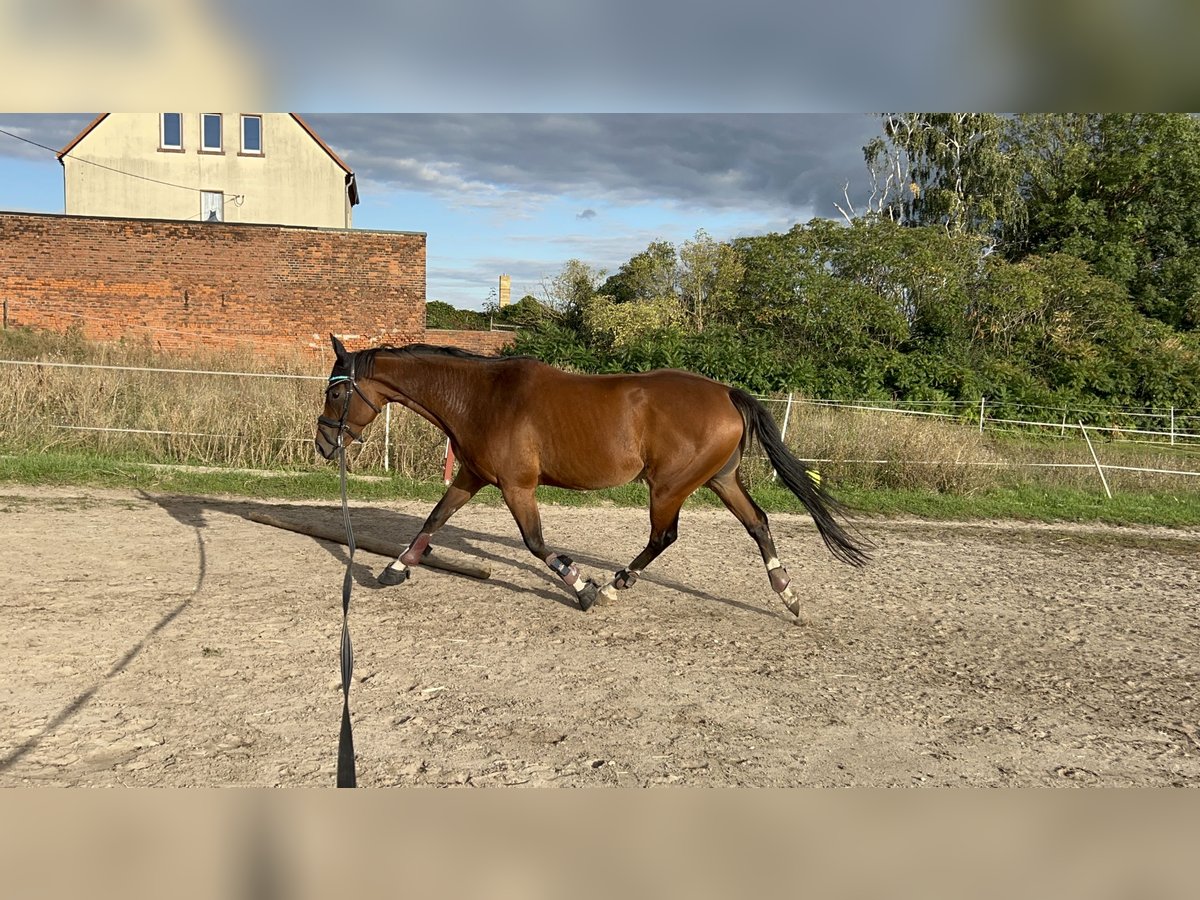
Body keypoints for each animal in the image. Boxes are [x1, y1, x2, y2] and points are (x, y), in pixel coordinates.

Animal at [314, 336, 868, 624]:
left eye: (336, 394)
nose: (323, 445)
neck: (482, 397)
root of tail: (727, 394)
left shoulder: (517, 486)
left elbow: (537, 543)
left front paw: (583, 588)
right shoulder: (472, 476)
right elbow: (433, 520)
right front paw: (394, 570)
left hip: (668, 487)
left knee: (664, 536)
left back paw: (616, 585)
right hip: (720, 480)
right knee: (758, 523)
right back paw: (788, 596)